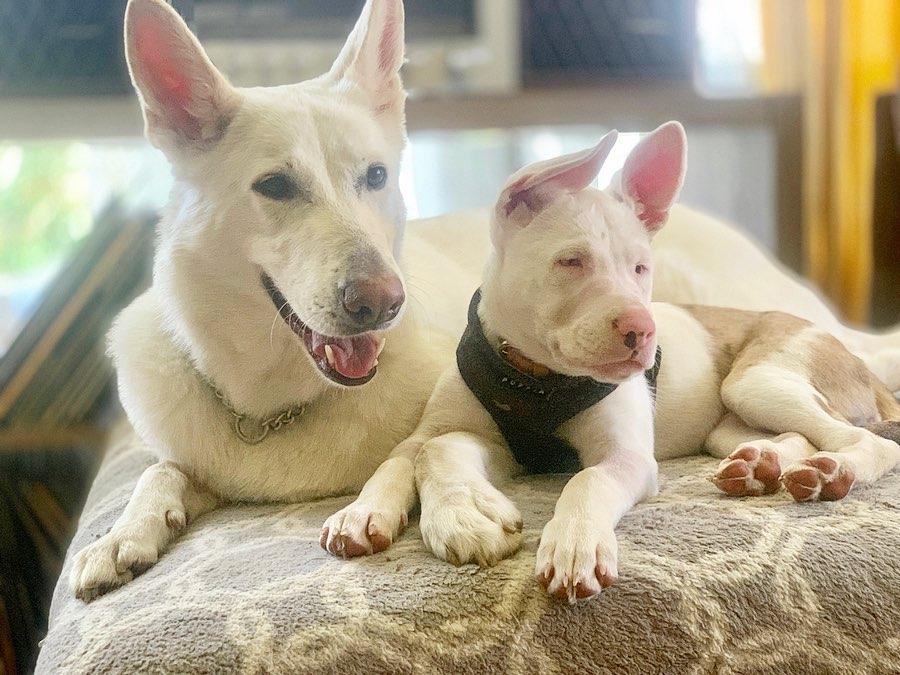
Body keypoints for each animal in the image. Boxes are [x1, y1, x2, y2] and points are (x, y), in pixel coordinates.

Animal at [398, 125, 896, 604]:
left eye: (640, 268)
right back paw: (759, 464)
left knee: (867, 440)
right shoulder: (495, 445)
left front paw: (575, 543)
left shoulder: (627, 457)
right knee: (799, 435)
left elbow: (589, 480)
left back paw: (830, 473)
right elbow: (433, 447)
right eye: (570, 261)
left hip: (758, 379)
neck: (536, 379)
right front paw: (463, 516)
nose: (643, 330)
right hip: (729, 422)